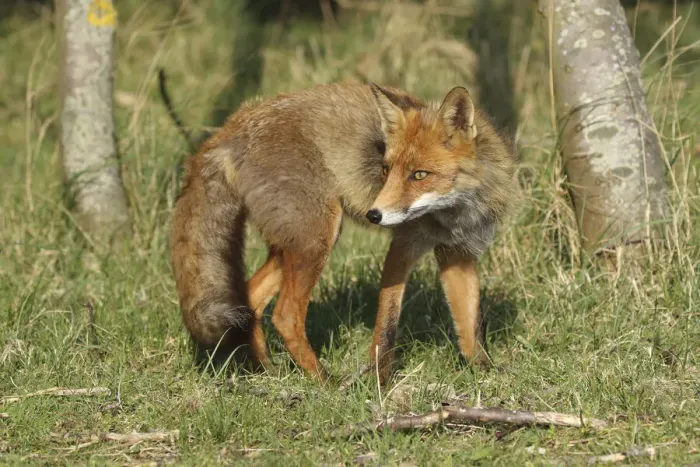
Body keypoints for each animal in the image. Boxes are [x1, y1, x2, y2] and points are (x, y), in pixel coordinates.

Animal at [169, 81, 519, 385]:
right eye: (386, 170)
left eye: (419, 175)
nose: (374, 215)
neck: (454, 213)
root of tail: (234, 124)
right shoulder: (403, 246)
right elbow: (387, 325)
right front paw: (379, 381)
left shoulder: (458, 253)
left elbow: (470, 324)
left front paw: (483, 372)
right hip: (317, 237)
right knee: (285, 314)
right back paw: (324, 382)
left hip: (292, 243)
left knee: (251, 297)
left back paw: (267, 369)